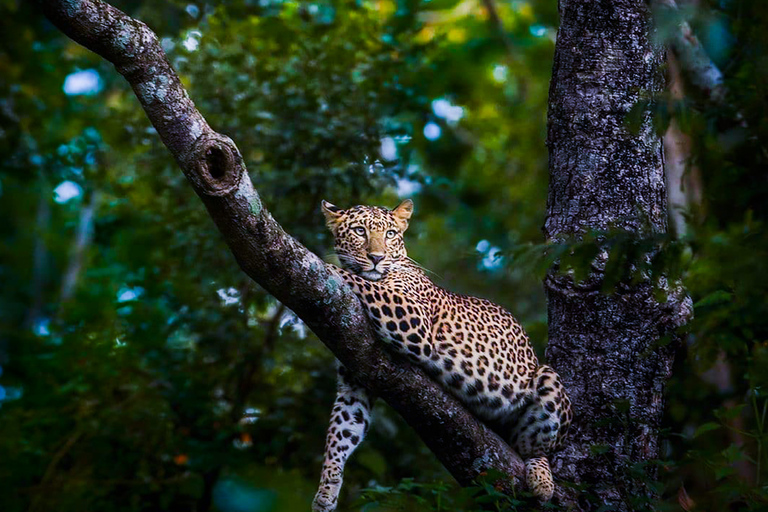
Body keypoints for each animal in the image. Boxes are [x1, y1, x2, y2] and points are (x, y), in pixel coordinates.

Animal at [310, 200, 568, 512]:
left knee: (537, 449)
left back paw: (541, 478)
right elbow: (341, 434)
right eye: (360, 231)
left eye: (390, 234)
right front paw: (327, 490)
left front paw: (323, 264)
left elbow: (362, 283)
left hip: (547, 378)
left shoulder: (413, 320)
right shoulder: (355, 381)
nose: (376, 258)